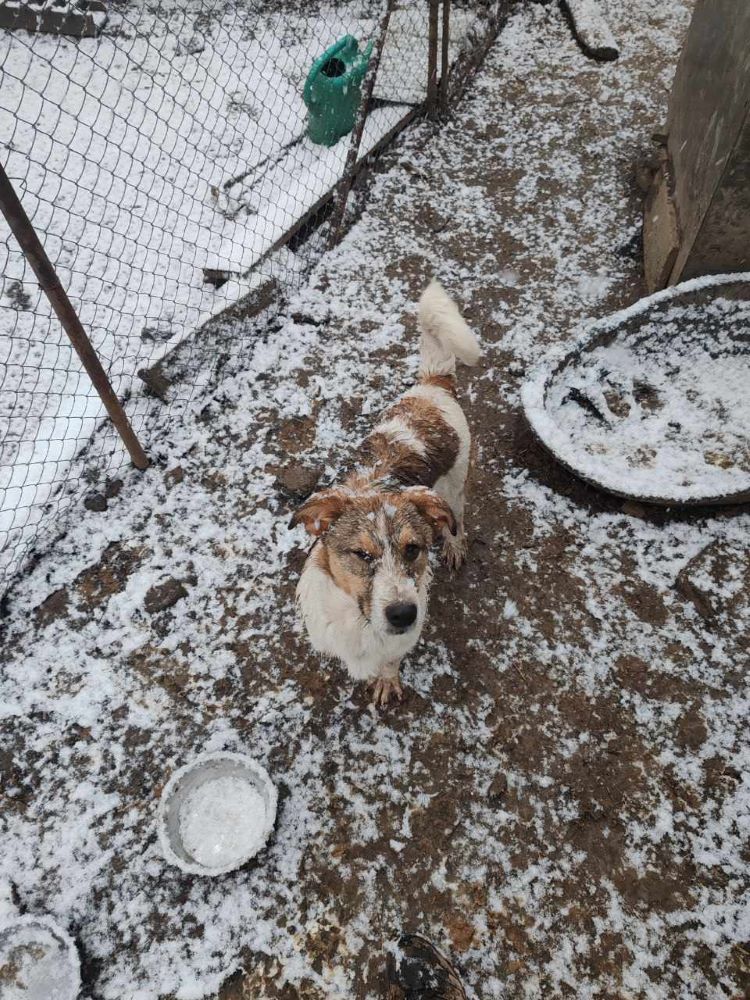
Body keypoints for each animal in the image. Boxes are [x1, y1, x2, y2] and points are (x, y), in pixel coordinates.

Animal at [290, 278, 478, 708]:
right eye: (361, 555)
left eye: (413, 549)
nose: (403, 614)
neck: (358, 620)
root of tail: (432, 385)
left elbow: (390, 662)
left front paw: (387, 681)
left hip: (454, 488)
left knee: (457, 520)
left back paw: (454, 544)